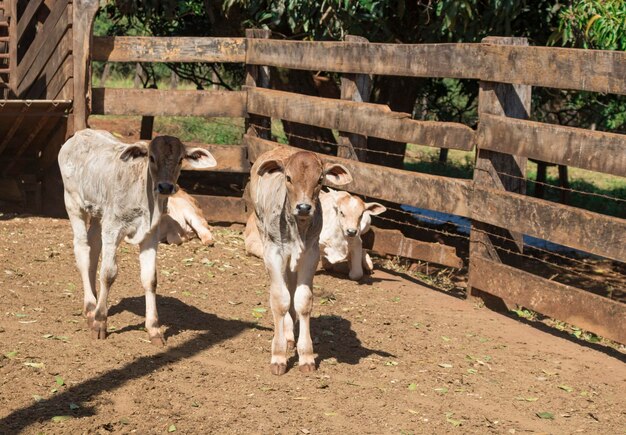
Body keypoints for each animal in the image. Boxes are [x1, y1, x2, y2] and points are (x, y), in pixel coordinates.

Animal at [59, 130, 214, 348]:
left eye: (180, 159)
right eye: (152, 157)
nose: (165, 186)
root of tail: (79, 134)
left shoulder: (150, 236)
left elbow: (150, 279)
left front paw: (154, 329)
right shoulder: (113, 228)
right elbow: (108, 274)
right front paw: (100, 323)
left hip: (99, 214)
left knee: (94, 248)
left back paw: (95, 300)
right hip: (73, 204)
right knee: (82, 250)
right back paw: (90, 306)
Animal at [251, 147, 354, 374]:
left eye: (320, 179)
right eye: (288, 178)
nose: (304, 207)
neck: (298, 227)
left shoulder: (311, 254)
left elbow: (302, 301)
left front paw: (306, 356)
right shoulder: (273, 252)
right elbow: (280, 300)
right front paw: (278, 355)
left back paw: (290, 334)